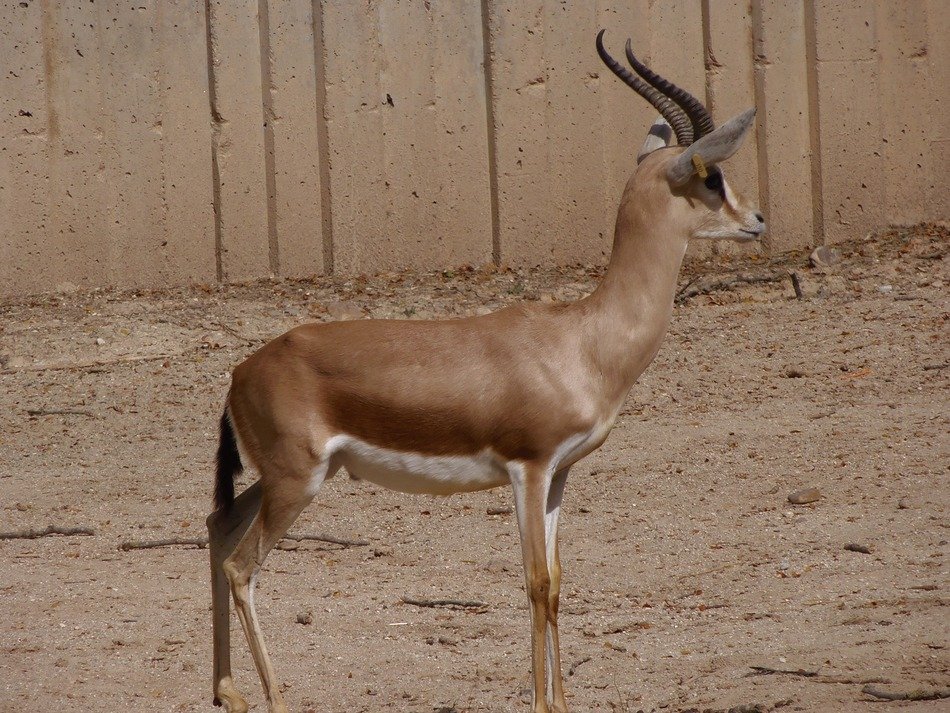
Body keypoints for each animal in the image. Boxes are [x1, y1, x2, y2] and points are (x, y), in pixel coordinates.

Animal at [206, 30, 766, 713]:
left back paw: (227, 691)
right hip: (295, 482)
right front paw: (542, 704)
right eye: (711, 177)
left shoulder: (559, 474)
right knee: (242, 567)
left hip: (289, 477)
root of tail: (242, 372)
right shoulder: (527, 468)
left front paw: (563, 702)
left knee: (216, 527)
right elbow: (533, 583)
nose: (757, 220)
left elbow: (557, 581)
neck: (584, 339)